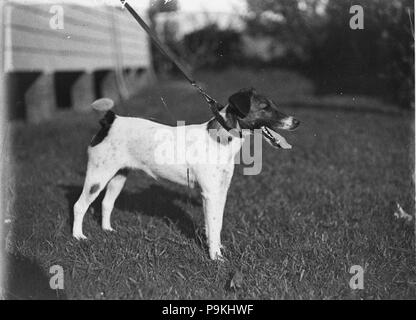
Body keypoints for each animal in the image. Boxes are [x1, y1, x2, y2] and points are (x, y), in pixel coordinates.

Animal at [72, 87, 300, 260]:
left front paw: (216, 247)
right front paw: (216, 257)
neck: (222, 138)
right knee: (79, 205)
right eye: (265, 107)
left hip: (118, 176)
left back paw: (107, 230)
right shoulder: (210, 194)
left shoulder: (220, 193)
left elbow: (215, 224)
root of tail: (110, 121)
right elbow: (214, 224)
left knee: (106, 203)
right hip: (98, 176)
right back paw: (78, 237)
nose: (297, 122)